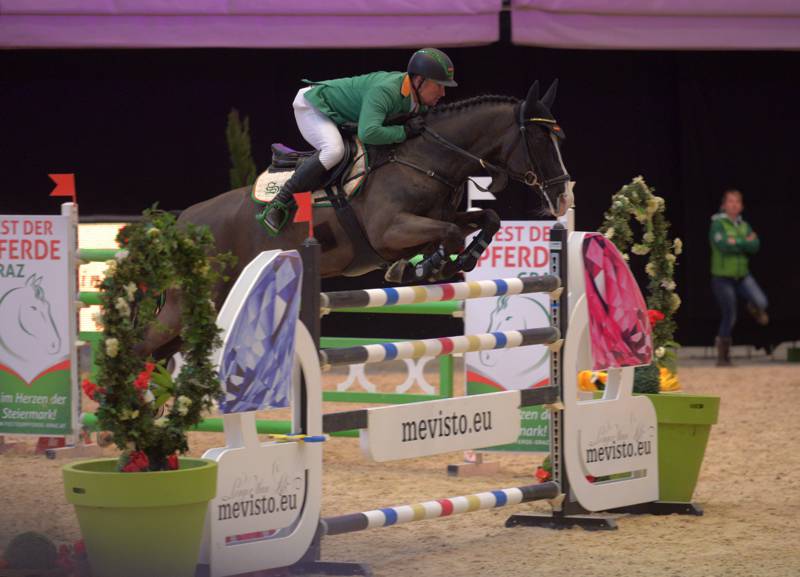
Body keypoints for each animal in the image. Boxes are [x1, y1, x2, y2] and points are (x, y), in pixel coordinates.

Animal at [142, 79, 568, 358]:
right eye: (540, 139)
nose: (563, 198)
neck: (427, 159)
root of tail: (182, 223)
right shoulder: (389, 231)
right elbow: (445, 234)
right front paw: (428, 264)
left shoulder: (442, 214)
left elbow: (487, 217)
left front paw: (451, 259)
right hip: (191, 303)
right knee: (143, 344)